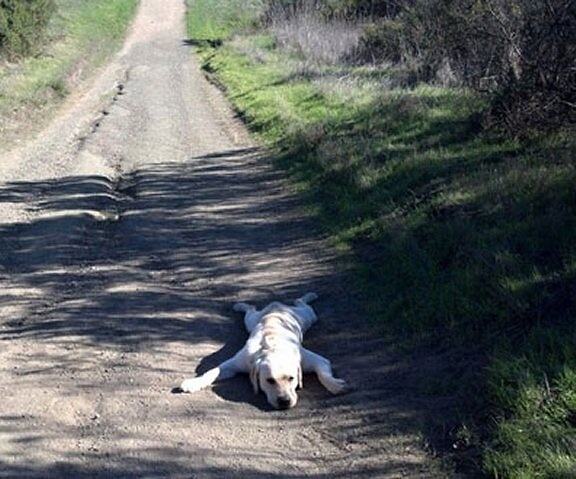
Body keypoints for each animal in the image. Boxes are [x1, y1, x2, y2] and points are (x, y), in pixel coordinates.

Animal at [180, 292, 348, 408]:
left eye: (291, 378)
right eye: (270, 381)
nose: (284, 401)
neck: (271, 347)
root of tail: (276, 307)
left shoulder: (313, 360)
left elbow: (323, 374)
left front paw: (335, 385)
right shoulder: (235, 363)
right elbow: (211, 372)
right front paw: (194, 383)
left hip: (307, 317)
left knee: (301, 303)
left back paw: (309, 296)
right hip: (251, 321)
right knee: (251, 309)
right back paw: (240, 306)